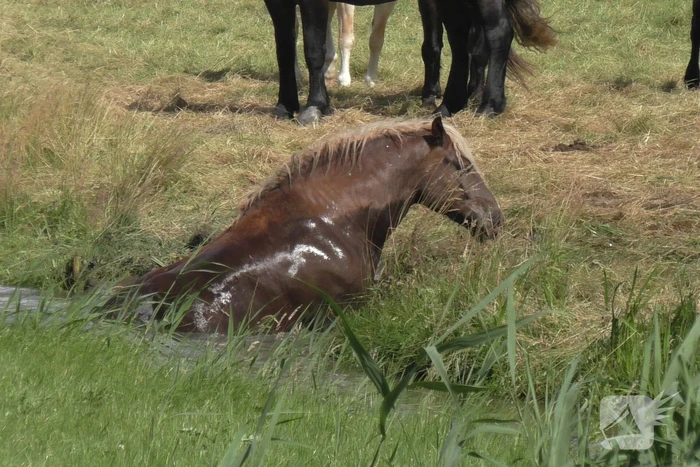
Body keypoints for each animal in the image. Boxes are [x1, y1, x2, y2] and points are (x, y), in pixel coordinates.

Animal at [263, 0, 555, 124]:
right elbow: (284, 49)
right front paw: (285, 106)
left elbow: (313, 49)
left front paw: (315, 107)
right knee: (461, 40)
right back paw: (448, 106)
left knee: (497, 33)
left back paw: (489, 107)